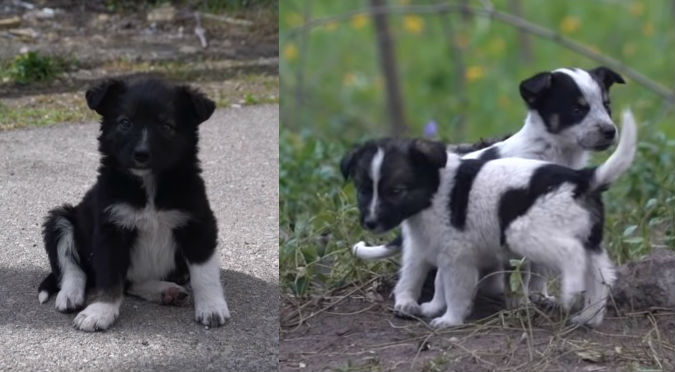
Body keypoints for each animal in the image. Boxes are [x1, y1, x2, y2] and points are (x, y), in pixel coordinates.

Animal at [37, 77, 232, 332]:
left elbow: (204, 272)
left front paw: (211, 307)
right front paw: (101, 311)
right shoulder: (110, 228)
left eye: (166, 126)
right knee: (73, 267)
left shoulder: (198, 222)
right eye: (125, 123)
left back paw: (165, 290)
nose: (141, 154)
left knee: (131, 281)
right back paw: (70, 295)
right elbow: (110, 276)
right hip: (61, 219)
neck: (148, 184)